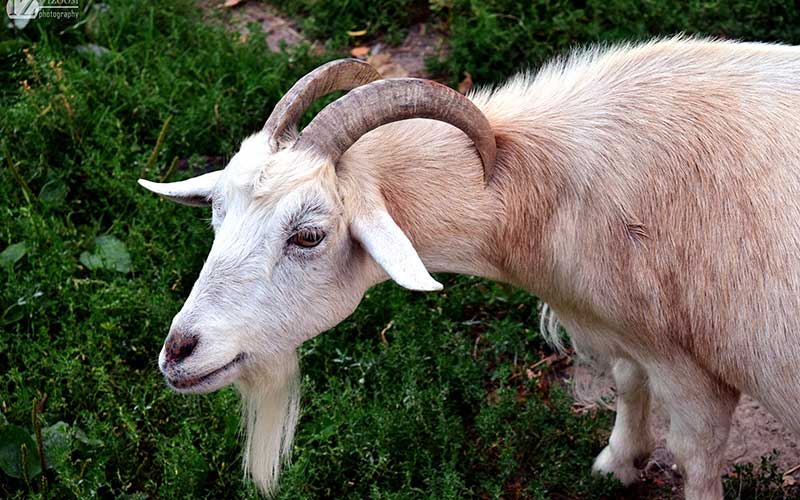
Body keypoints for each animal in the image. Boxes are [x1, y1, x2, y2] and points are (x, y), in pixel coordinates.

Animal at [139, 37, 800, 499]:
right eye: (217, 211)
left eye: (308, 236)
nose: (177, 353)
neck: (545, 186)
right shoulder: (624, 323)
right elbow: (625, 377)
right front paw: (619, 461)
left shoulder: (692, 366)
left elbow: (696, 455)